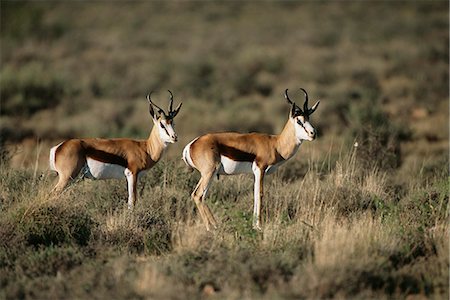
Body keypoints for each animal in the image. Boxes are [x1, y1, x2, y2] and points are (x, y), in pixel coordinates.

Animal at [48, 91, 182, 209]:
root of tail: (58, 147)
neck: (145, 148)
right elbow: (132, 201)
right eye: (162, 124)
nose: (174, 137)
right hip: (67, 177)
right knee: (52, 195)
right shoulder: (132, 174)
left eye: (173, 123)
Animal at [181, 88, 318, 231]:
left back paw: (215, 225)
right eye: (299, 121)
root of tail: (191, 145)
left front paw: (254, 225)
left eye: (308, 118)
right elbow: (260, 194)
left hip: (209, 175)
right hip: (209, 172)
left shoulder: (256, 173)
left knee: (200, 195)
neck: (275, 144)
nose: (313, 133)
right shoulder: (260, 169)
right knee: (198, 195)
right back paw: (211, 227)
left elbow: (255, 194)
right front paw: (259, 226)